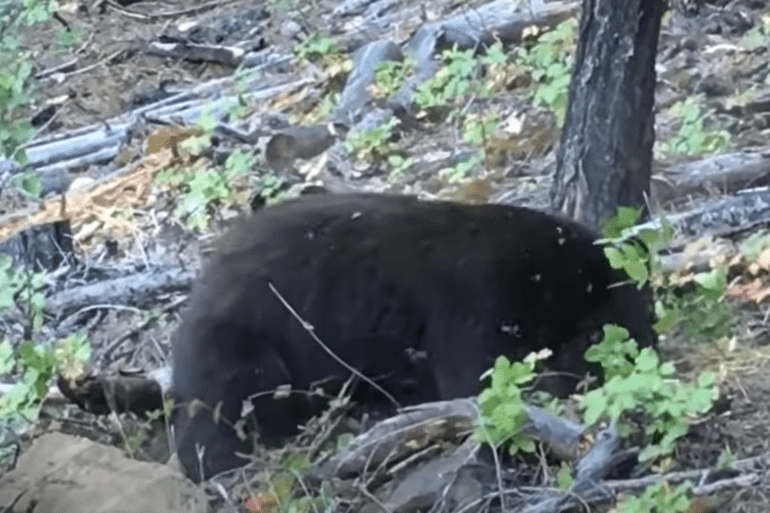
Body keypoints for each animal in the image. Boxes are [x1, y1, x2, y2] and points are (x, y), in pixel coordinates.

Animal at [172, 193, 655, 482]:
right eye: (623, 327)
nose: (653, 353)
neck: (538, 271)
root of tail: (202, 284)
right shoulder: (474, 301)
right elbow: (476, 376)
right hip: (244, 340)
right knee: (224, 403)